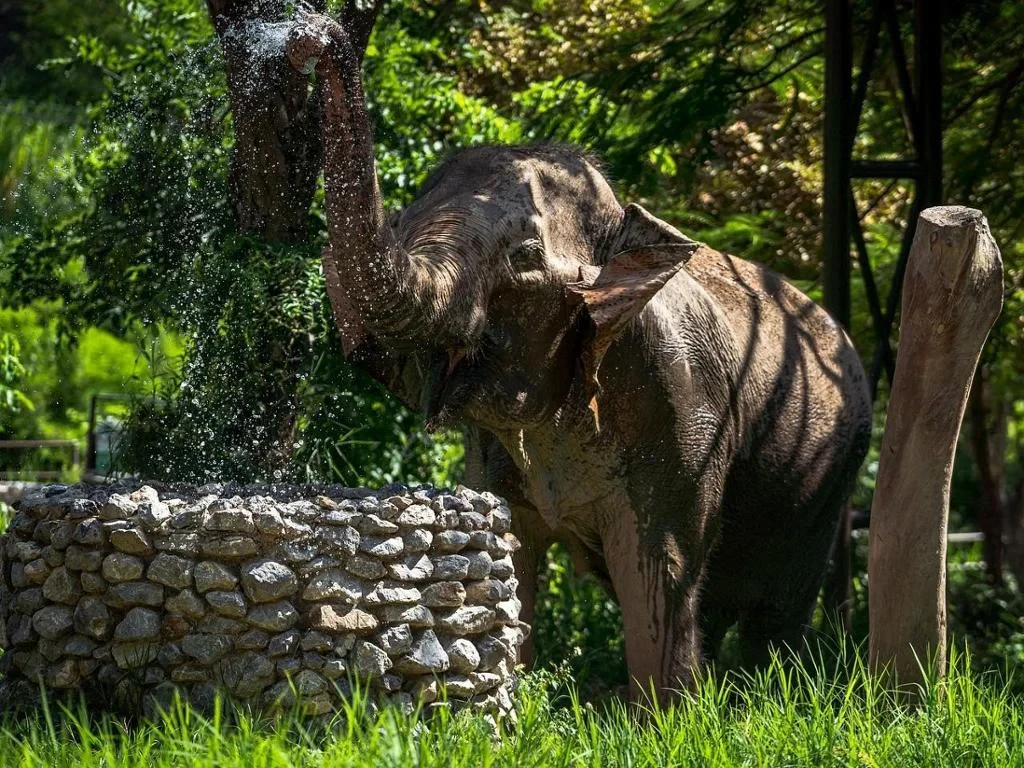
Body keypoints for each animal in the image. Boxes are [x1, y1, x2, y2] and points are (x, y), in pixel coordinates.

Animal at [286, 15, 873, 700]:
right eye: (404, 222)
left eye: (524, 257)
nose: (306, 37)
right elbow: (516, 557)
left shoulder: (682, 415)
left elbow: (659, 571)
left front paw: (665, 716)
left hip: (828, 476)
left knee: (774, 607)